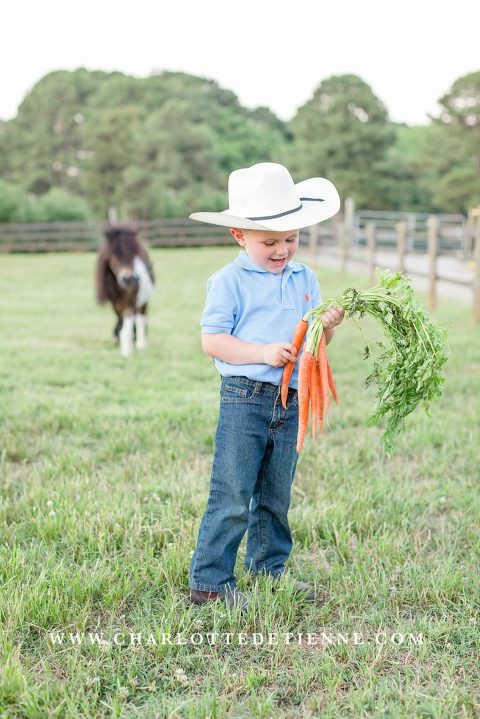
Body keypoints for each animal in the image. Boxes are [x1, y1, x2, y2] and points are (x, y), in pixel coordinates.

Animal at [95, 224, 155, 357]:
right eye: (113, 254)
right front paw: (124, 347)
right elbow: (122, 325)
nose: (128, 279)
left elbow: (127, 325)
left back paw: (141, 344)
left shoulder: (130, 303)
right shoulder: (116, 305)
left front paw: (127, 352)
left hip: (143, 301)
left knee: (140, 317)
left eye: (133, 254)